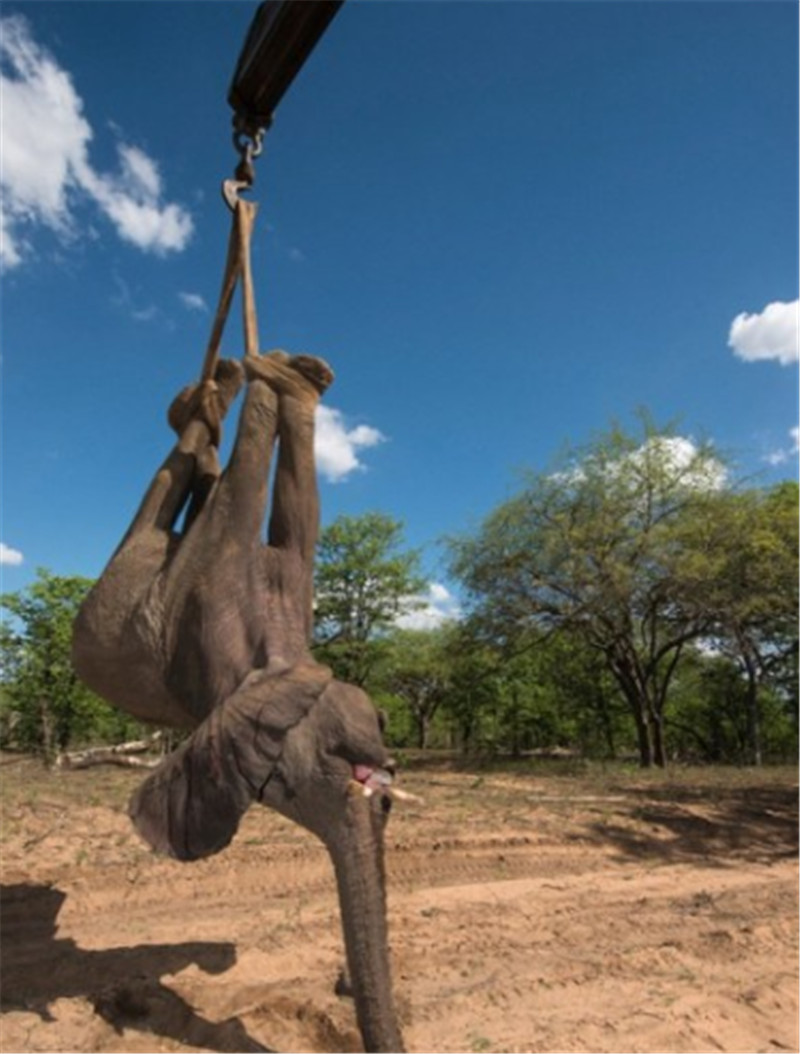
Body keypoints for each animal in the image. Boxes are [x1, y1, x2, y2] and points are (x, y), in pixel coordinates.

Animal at [73, 354, 406, 1054]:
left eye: (390, 794)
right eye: (282, 789)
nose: (340, 985)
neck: (273, 668)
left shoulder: (266, 583)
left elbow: (282, 510)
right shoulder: (193, 609)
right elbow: (236, 502)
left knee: (212, 481)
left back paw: (259, 386)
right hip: (154, 571)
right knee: (185, 487)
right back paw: (235, 388)